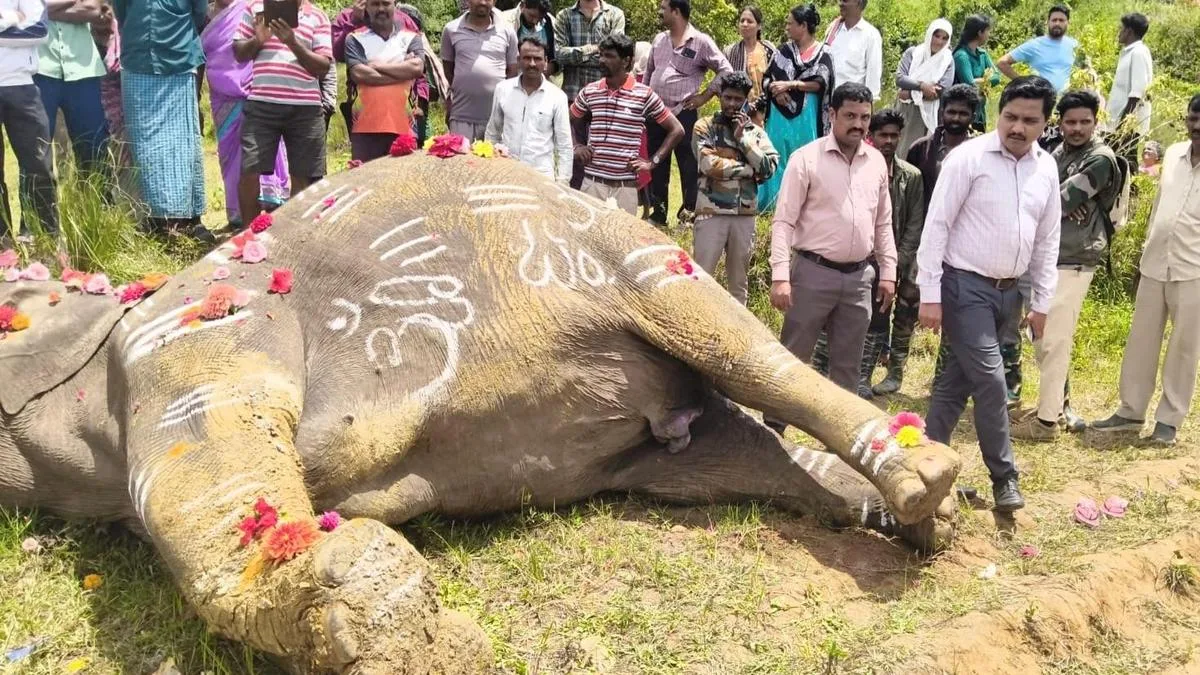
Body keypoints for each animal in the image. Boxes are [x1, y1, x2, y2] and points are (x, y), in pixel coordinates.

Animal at [0, 152, 961, 674]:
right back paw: (919, 518)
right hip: (663, 446)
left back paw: (930, 477)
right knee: (741, 453)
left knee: (747, 355)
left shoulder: (198, 324)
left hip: (633, 253)